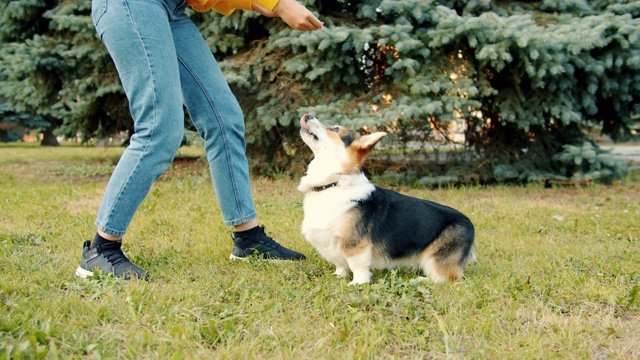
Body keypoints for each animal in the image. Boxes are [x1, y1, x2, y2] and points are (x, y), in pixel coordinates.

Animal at [298, 114, 476, 284]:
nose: (307, 115)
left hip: (435, 258)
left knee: (448, 278)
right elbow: (341, 265)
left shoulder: (356, 246)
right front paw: (339, 276)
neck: (335, 183)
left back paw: (422, 280)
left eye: (335, 129)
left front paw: (358, 283)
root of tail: (470, 224)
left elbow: (357, 266)